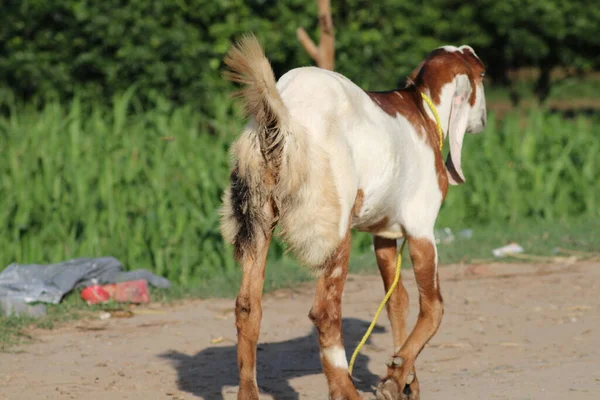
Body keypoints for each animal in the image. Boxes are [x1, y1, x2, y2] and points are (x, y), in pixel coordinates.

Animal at [220, 34, 488, 400]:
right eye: (483, 74)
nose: (484, 120)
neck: (422, 111)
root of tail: (282, 121)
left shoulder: (384, 233)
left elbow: (397, 302)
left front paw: (405, 378)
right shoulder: (421, 227)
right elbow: (433, 306)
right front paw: (394, 378)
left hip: (255, 217)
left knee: (248, 306)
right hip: (333, 228)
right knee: (325, 311)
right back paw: (346, 390)